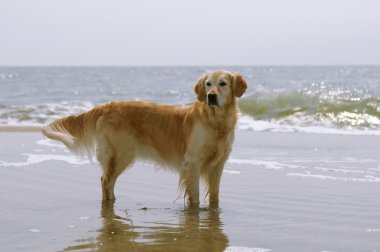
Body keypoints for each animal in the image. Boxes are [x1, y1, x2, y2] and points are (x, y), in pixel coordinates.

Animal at [43, 70, 248, 207]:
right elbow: (195, 196)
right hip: (121, 155)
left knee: (108, 181)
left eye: (223, 83)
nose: (210, 96)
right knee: (105, 180)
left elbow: (215, 195)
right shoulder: (193, 163)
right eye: (208, 84)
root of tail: (107, 106)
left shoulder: (218, 164)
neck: (216, 123)